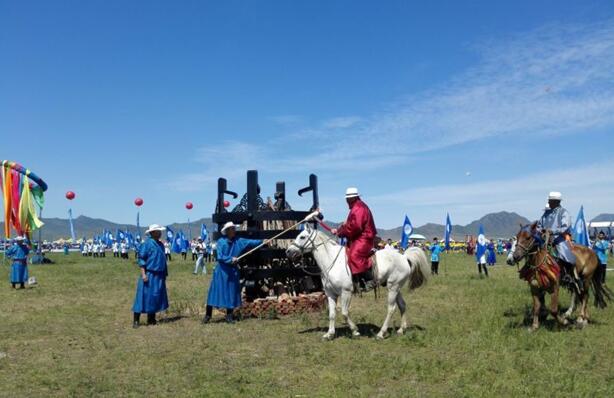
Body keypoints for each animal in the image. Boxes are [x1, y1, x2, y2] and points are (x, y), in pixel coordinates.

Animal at [286, 225, 430, 340]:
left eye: (302, 237)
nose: (288, 251)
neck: (332, 261)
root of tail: (404, 257)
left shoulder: (346, 292)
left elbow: (344, 312)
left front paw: (355, 331)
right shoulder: (330, 294)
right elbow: (332, 314)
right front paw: (330, 334)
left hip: (393, 288)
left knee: (391, 308)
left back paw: (381, 333)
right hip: (396, 287)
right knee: (402, 305)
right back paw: (401, 329)